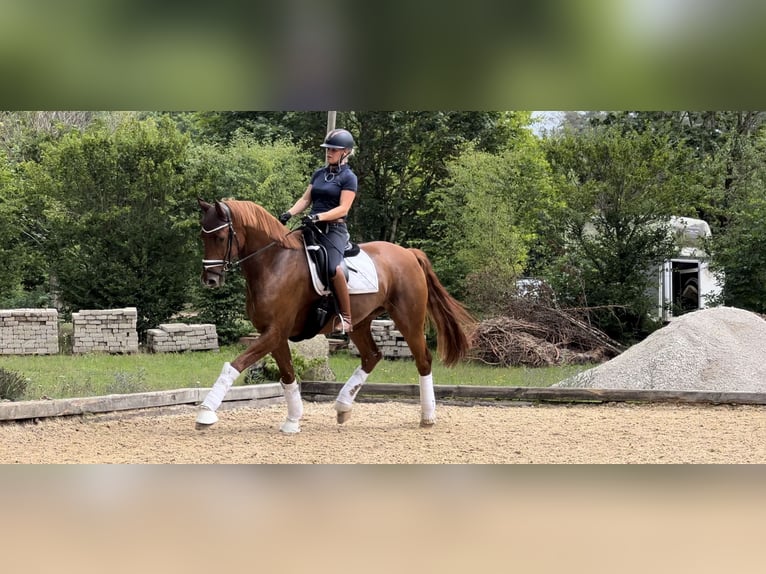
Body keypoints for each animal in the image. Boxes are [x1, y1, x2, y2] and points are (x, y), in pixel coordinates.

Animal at [195, 200, 476, 434]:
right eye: (202, 236)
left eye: (220, 237)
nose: (210, 280)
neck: (273, 263)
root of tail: (408, 253)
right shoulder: (274, 334)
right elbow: (287, 375)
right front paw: (293, 420)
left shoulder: (275, 331)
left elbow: (235, 364)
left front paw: (206, 413)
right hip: (360, 322)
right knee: (372, 356)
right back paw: (343, 406)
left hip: (408, 318)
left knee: (423, 360)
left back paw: (427, 417)